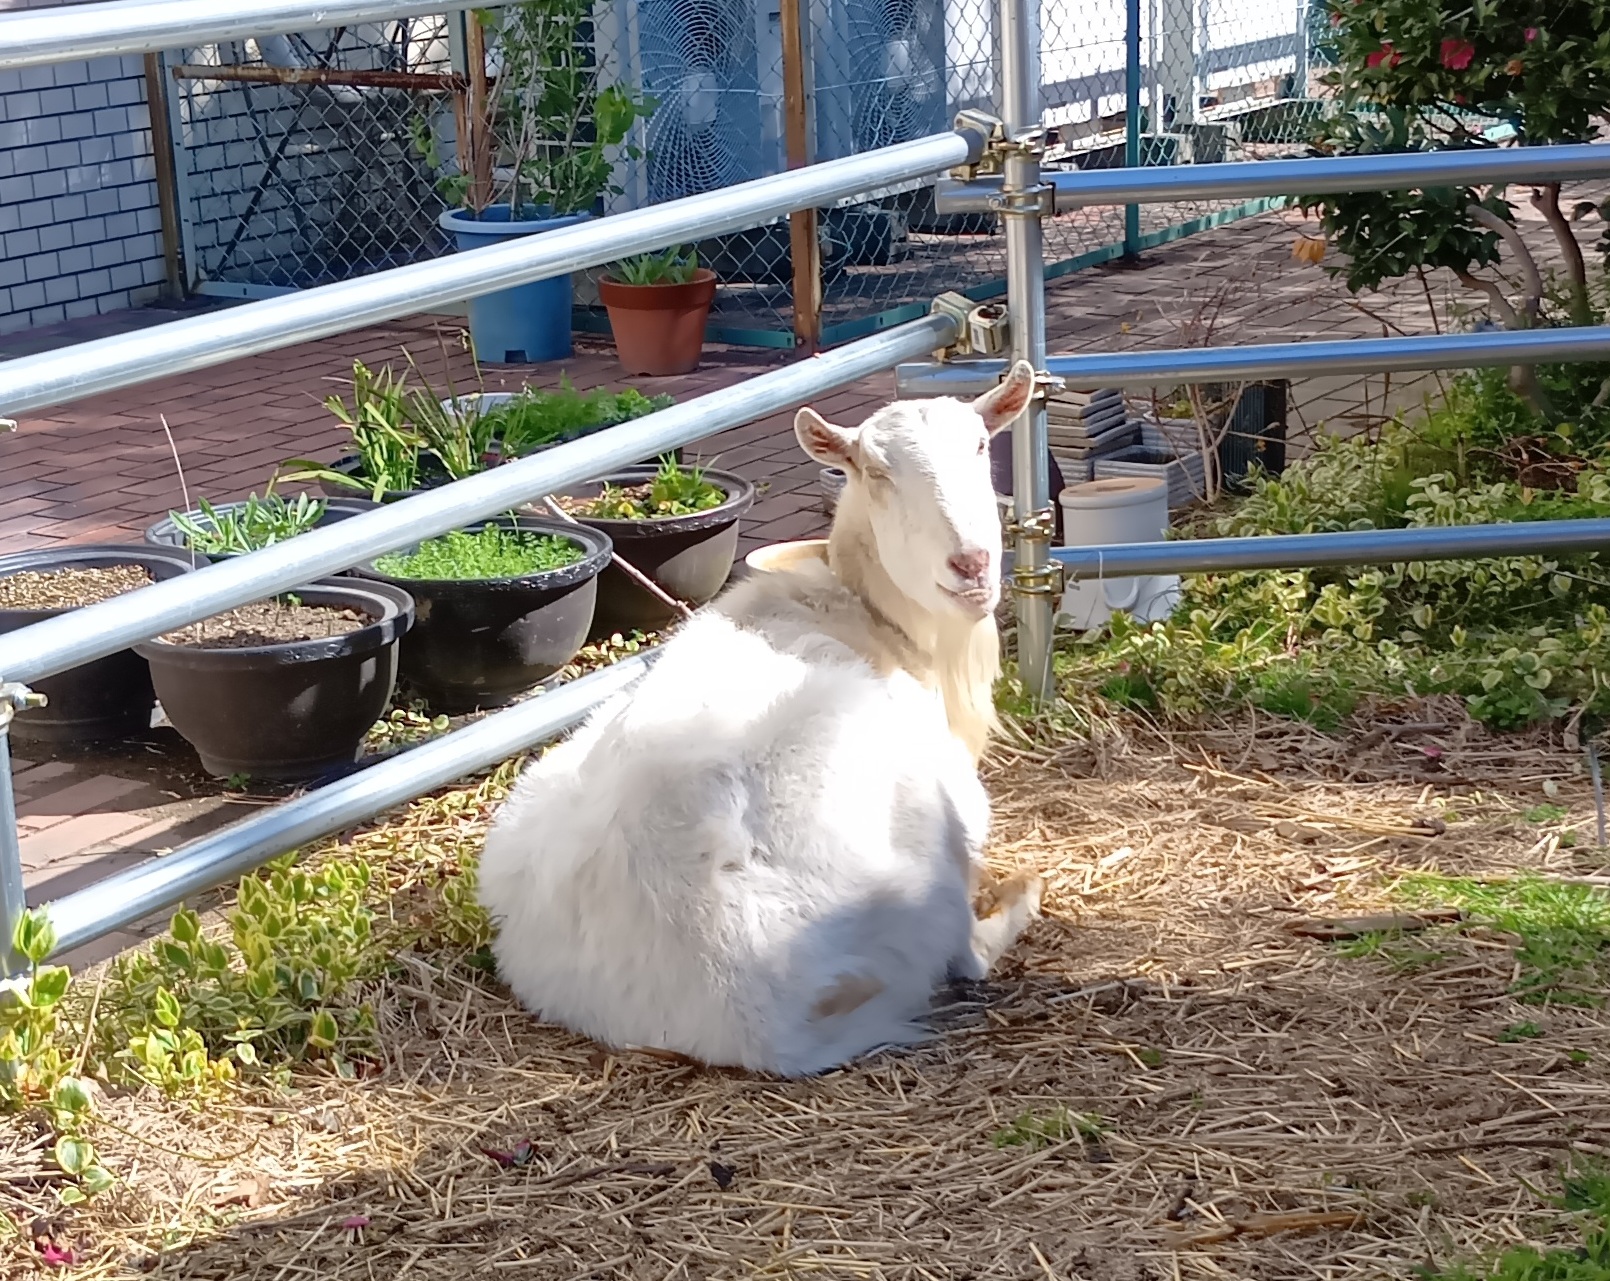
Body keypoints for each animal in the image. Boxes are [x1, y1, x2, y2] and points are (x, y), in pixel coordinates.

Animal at [476, 360, 1046, 1077]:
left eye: (978, 445)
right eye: (874, 471)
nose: (969, 565)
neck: (863, 615)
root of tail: (753, 1018)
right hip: (939, 834)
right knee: (965, 953)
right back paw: (1021, 895)